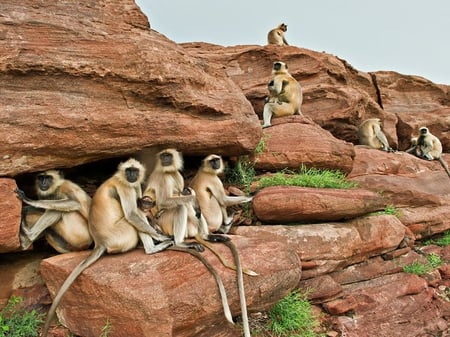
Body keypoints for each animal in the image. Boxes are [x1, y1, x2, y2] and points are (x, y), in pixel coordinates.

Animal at [41, 158, 173, 336]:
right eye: (128, 171)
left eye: (135, 171)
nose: (132, 176)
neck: (122, 178)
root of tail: (100, 242)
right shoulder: (125, 187)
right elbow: (133, 214)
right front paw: (159, 236)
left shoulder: (134, 185)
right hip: (121, 235)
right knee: (134, 215)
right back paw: (152, 249)